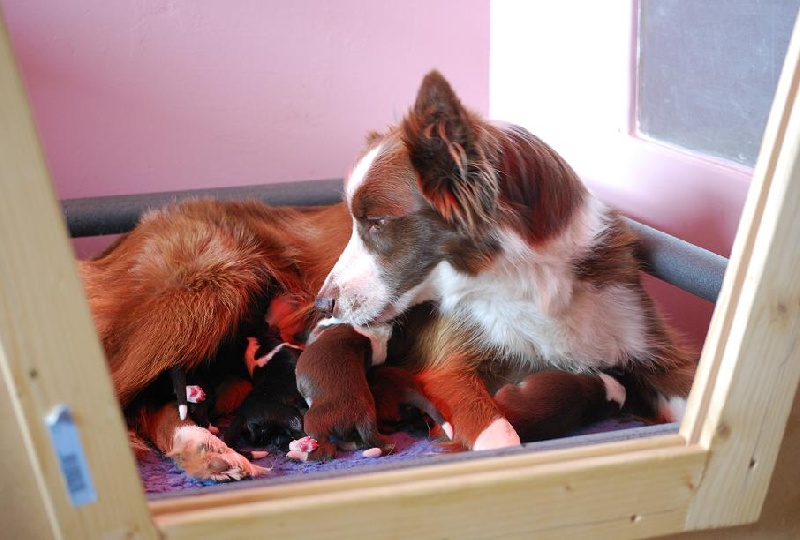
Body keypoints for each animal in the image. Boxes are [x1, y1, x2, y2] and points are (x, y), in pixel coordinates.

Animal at [316, 70, 696, 452]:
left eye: (377, 223)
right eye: (360, 222)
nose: (323, 303)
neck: (531, 285)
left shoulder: (644, 337)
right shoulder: (447, 369)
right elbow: (502, 439)